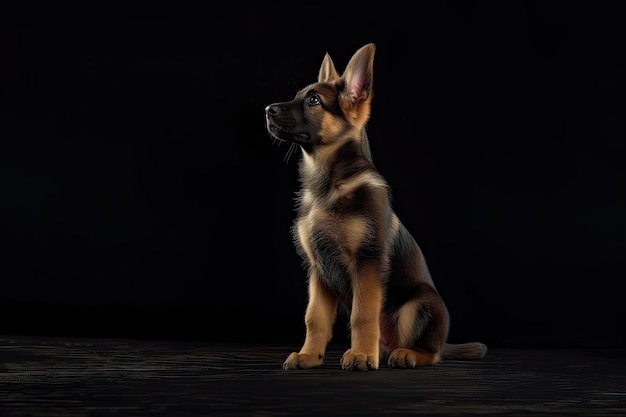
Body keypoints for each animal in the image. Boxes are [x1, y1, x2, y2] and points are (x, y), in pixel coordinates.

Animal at [260, 44, 486, 368]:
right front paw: (309, 355)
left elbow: (363, 314)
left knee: (431, 353)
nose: (267, 110)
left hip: (418, 305)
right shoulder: (318, 270)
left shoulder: (366, 261)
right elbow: (314, 318)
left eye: (314, 101)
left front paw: (361, 355)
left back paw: (403, 354)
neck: (327, 184)